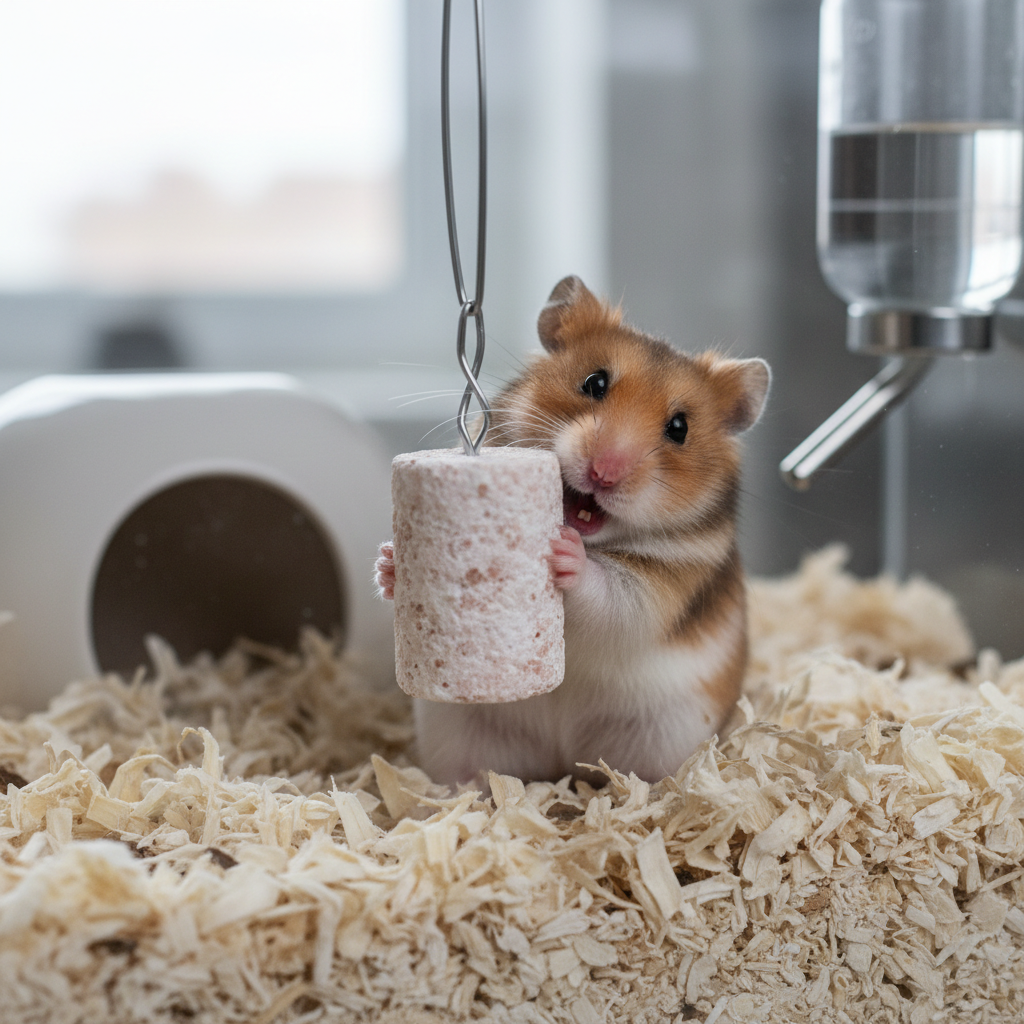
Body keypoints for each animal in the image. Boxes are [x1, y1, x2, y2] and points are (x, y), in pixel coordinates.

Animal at [376, 275, 770, 786]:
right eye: (594, 382)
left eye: (680, 428)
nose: (604, 472)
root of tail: (562, 762)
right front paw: (388, 562)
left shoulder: (665, 583)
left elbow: (612, 597)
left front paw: (564, 551)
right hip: (461, 736)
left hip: (662, 739)